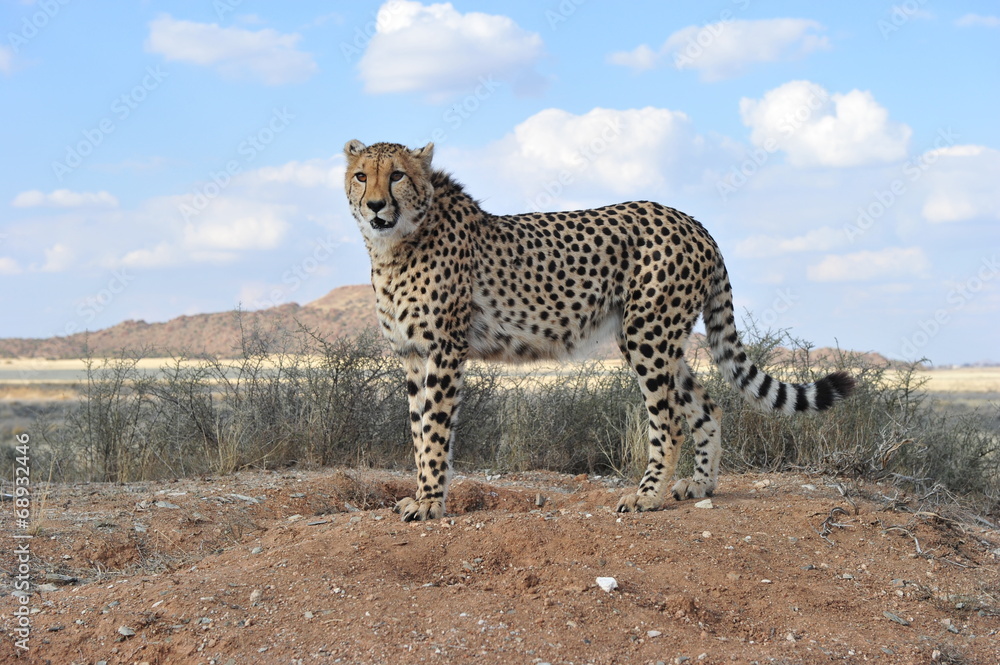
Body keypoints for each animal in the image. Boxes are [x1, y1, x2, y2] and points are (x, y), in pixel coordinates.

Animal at [343, 139, 855, 522]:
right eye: (361, 175)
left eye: (397, 175)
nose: (375, 206)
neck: (396, 243)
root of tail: (693, 222)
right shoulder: (412, 354)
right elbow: (417, 429)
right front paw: (422, 494)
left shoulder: (445, 349)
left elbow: (434, 429)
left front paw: (431, 502)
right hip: (650, 337)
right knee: (706, 405)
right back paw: (700, 484)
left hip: (648, 332)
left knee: (669, 418)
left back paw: (647, 495)